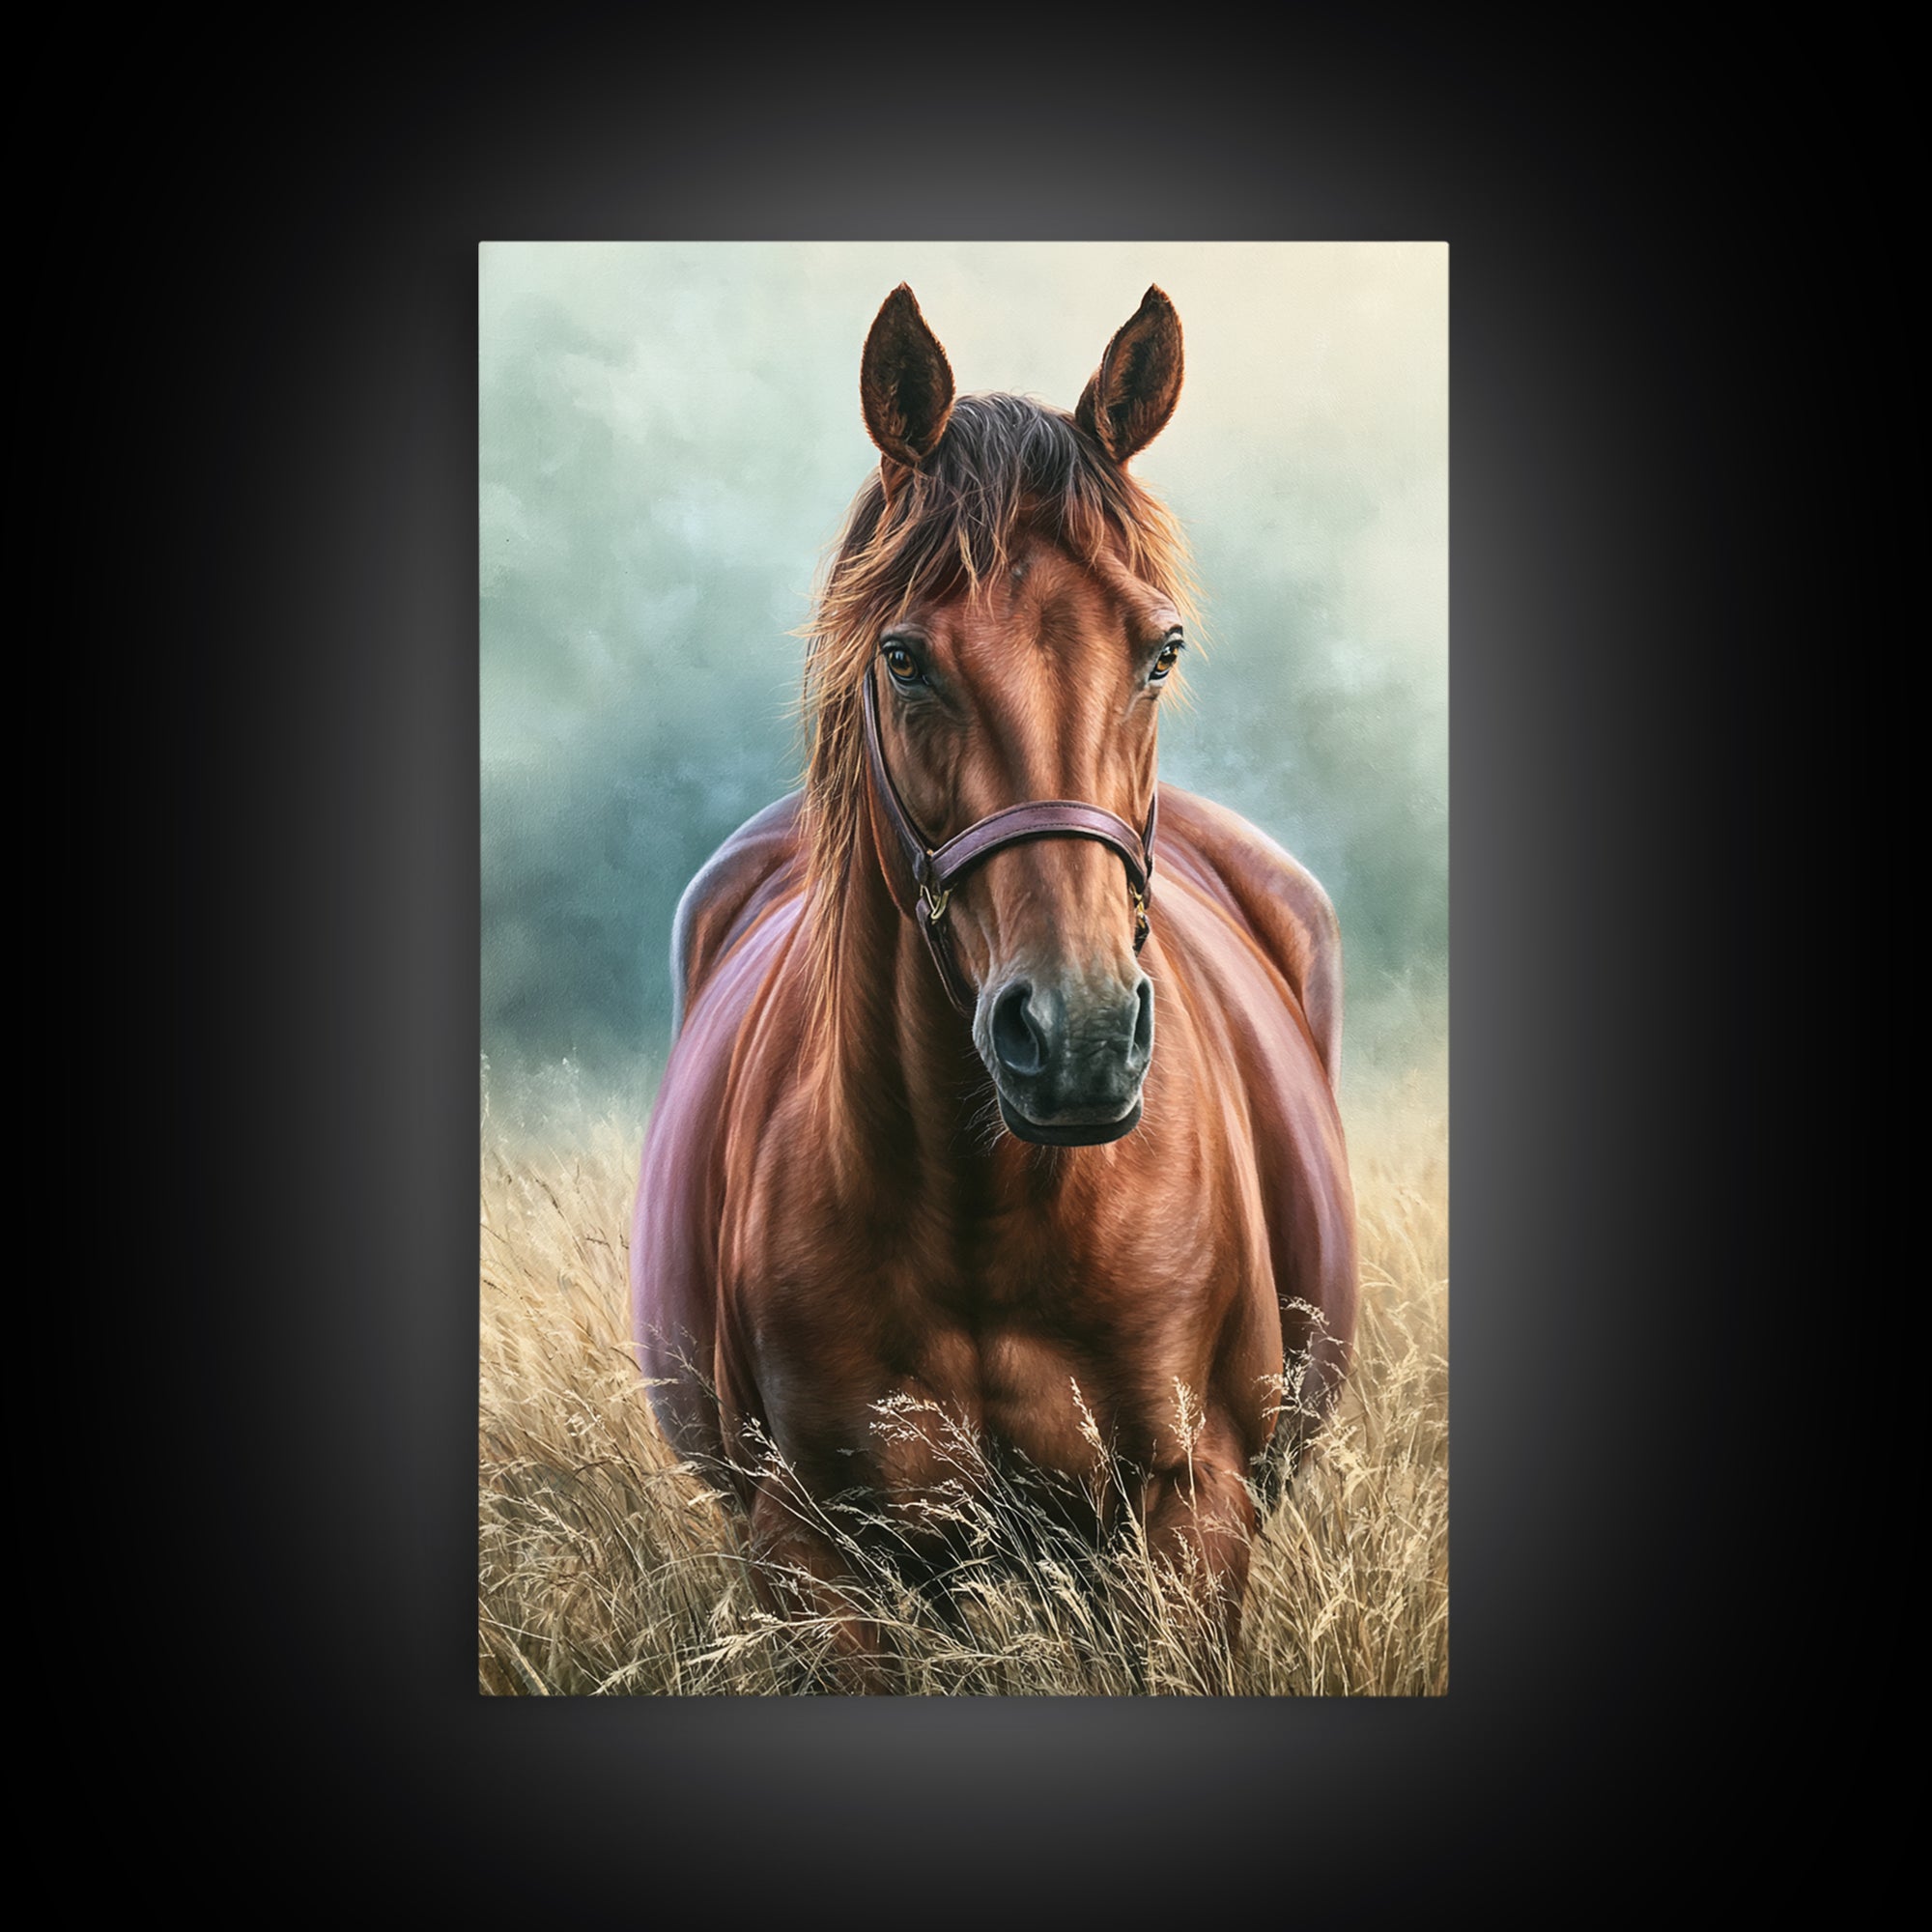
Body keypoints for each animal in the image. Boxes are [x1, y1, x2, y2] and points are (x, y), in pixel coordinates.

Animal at [630, 283, 1357, 1688]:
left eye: (1160, 649)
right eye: (906, 658)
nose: (1074, 1039)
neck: (986, 1217)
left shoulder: (1194, 1515)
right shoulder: (811, 1558)